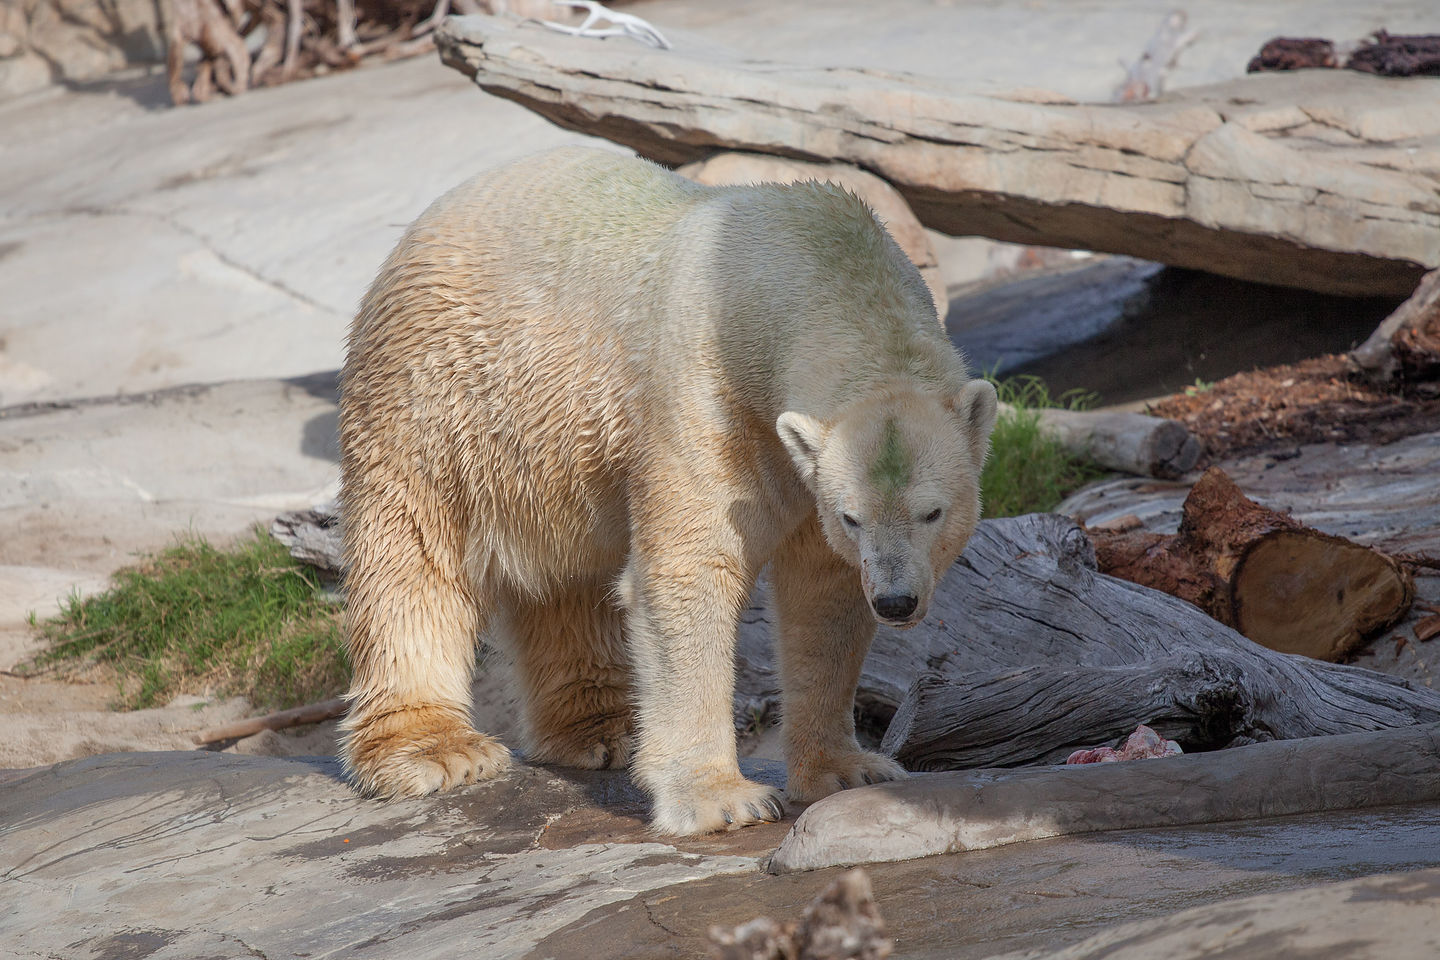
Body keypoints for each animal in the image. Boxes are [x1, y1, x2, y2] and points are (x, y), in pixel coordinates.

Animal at [337, 146, 998, 835]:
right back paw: (435, 749)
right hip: (439, 396)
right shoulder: (705, 396)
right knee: (414, 549)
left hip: (550, 449)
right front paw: (721, 798)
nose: (896, 601)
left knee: (568, 572)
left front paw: (849, 768)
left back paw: (604, 728)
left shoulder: (801, 463)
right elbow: (691, 568)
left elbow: (825, 596)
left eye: (933, 512)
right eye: (854, 517)